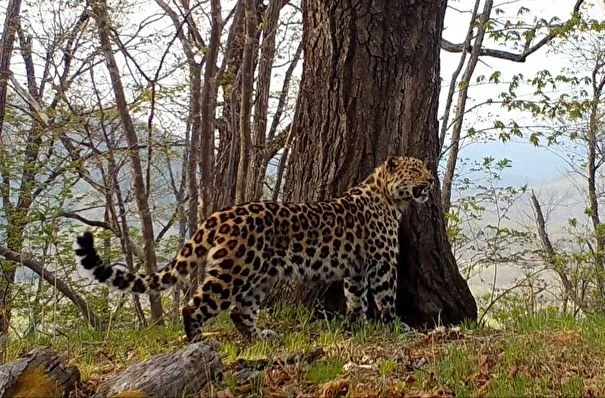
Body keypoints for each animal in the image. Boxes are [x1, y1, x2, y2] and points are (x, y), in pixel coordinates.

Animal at [74, 155, 434, 342]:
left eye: (427, 169)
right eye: (417, 169)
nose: (431, 181)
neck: (391, 199)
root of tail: (218, 215)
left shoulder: (356, 269)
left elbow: (356, 299)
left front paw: (356, 327)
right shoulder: (383, 263)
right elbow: (385, 297)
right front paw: (395, 326)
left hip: (258, 277)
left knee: (239, 311)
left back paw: (259, 337)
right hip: (232, 272)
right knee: (196, 305)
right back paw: (198, 340)